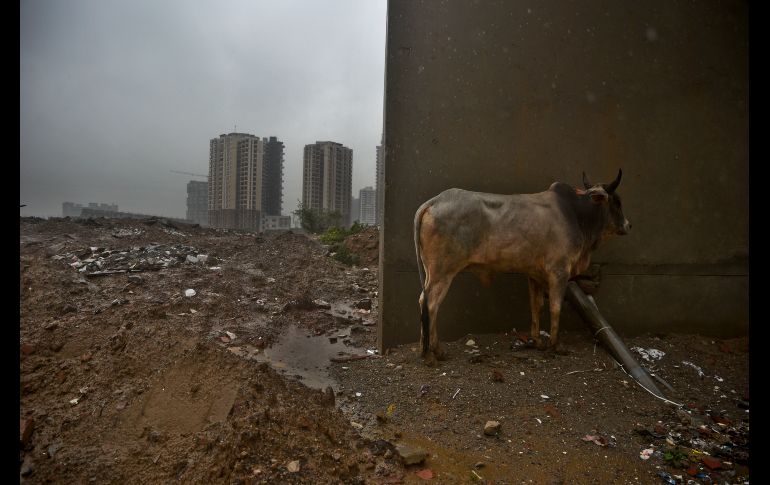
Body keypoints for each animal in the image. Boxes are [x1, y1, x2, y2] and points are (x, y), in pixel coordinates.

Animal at [412, 168, 628, 362]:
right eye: (617, 202)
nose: (628, 225)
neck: (576, 214)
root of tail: (434, 201)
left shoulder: (534, 274)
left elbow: (536, 306)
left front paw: (537, 342)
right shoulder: (559, 271)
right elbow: (555, 307)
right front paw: (555, 346)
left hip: (432, 272)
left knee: (424, 301)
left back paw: (425, 350)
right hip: (442, 272)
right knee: (431, 304)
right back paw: (435, 352)